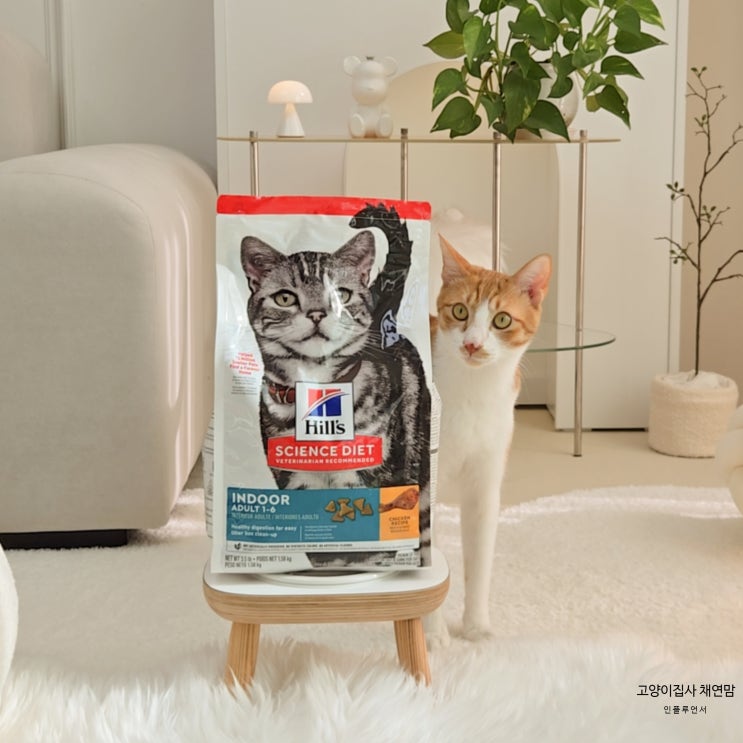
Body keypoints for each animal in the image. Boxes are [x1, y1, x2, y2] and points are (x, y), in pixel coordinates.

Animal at [239, 206, 431, 568]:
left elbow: (369, 550)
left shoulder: (373, 476)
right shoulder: (296, 479)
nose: (317, 313)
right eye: (285, 297)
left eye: (340, 294)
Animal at [428, 234, 551, 643]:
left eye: (502, 320)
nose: (472, 344)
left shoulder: (485, 485)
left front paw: (476, 627)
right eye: (460, 311)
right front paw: (433, 634)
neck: (471, 393)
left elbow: (479, 562)